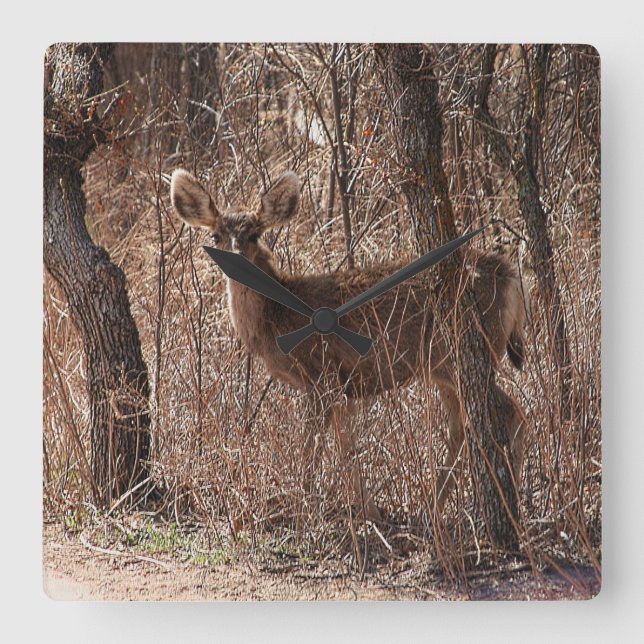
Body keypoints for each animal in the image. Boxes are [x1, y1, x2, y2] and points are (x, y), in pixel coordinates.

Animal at [170, 168, 528, 522]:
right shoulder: (342, 387)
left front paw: (302, 504)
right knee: (463, 427)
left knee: (511, 411)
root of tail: (510, 274)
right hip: (442, 366)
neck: (278, 318)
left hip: (460, 351)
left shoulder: (321, 375)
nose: (234, 261)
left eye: (255, 235)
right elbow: (347, 447)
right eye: (216, 236)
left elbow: (313, 446)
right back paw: (436, 507)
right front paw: (369, 510)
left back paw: (509, 502)